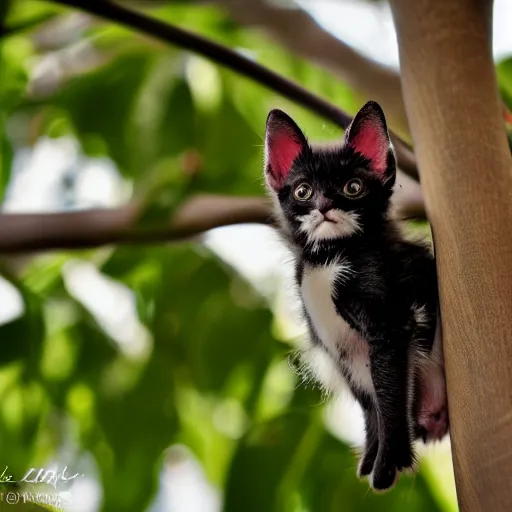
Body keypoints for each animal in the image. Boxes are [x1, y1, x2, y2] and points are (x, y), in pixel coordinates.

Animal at [264, 101, 448, 492]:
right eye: (302, 191)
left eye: (353, 187)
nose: (324, 204)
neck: (329, 258)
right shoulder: (342, 351)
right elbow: (370, 402)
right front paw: (373, 454)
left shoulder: (389, 323)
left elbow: (390, 394)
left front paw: (390, 461)